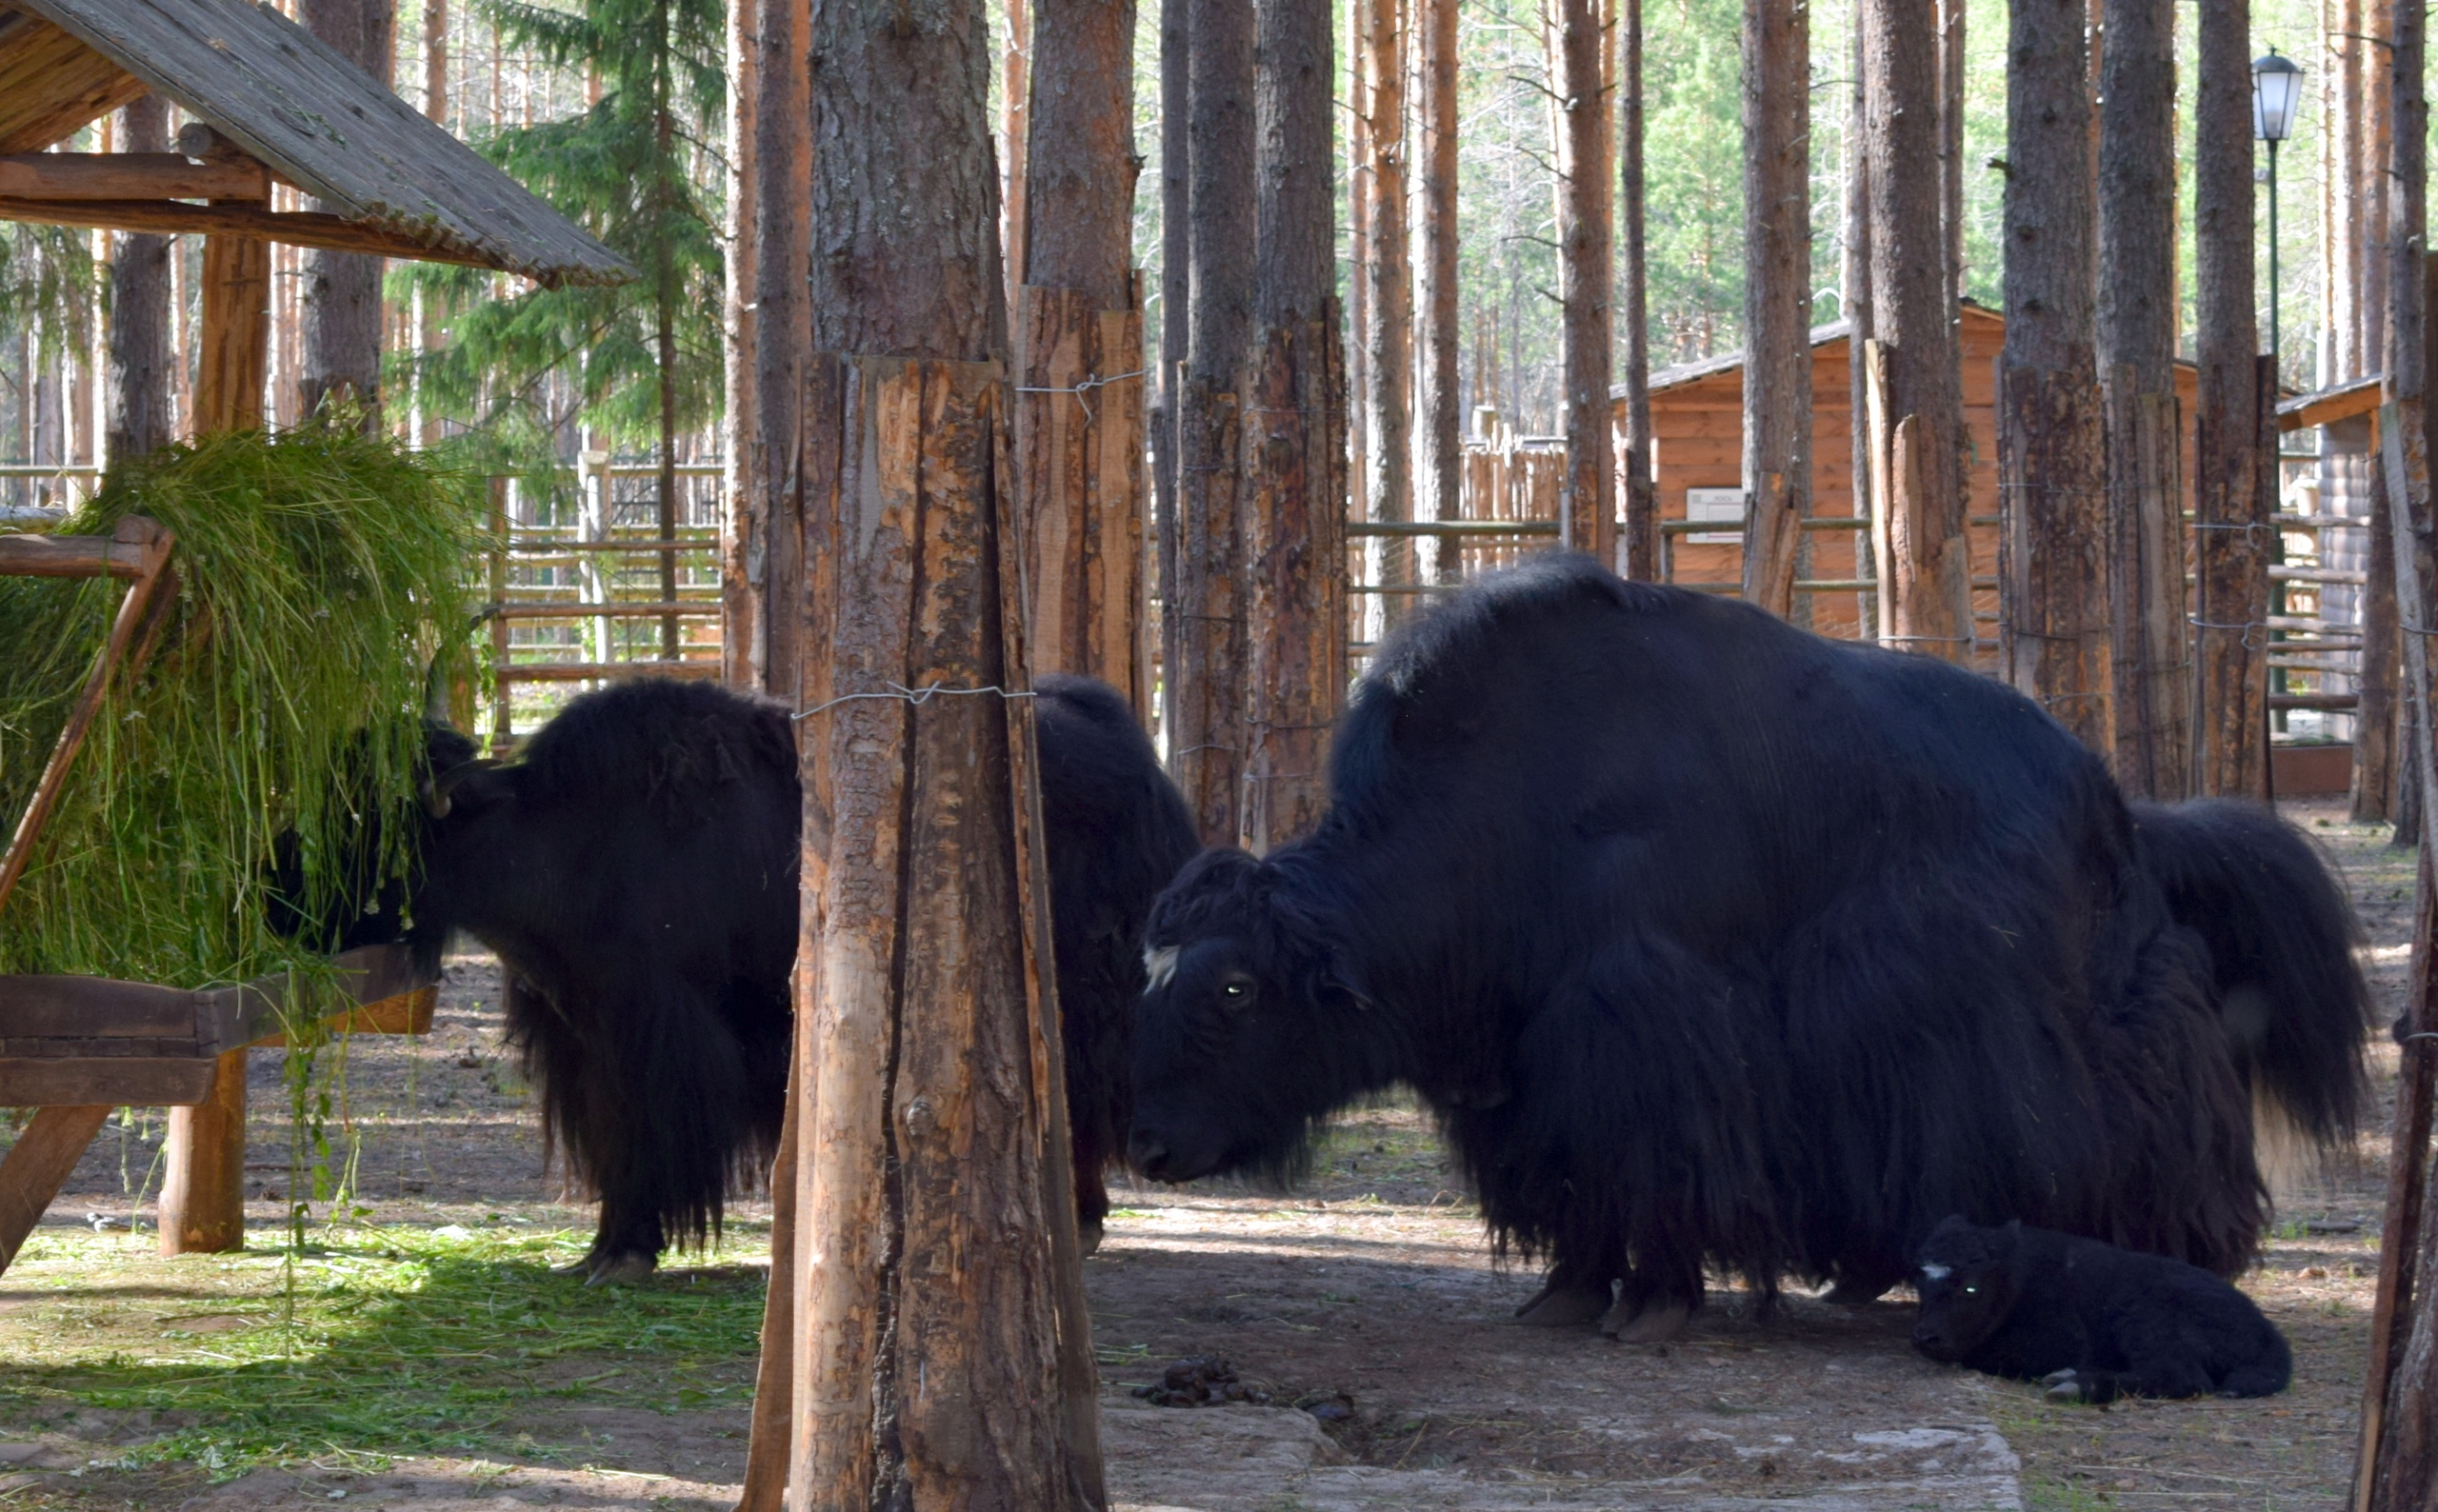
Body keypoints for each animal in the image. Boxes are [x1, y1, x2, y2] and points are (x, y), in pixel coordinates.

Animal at [370, 678, 1189, 1278]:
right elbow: (613, 1135)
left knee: (1084, 1099)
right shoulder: (586, 1038)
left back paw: (1080, 1220)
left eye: (367, 818)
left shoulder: (655, 1032)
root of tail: (1139, 760)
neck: (563, 838)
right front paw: (599, 1252)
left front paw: (625, 1252)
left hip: (1087, 1007)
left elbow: (644, 1131)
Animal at [1911, 1214, 2291, 1404]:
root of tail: (2268, 1332)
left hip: (2147, 1322)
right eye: (1920, 1285)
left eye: (1971, 1287)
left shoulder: (2060, 1341)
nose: (1926, 1337)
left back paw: (2077, 1385)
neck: (2020, 1276)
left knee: (2183, 1377)